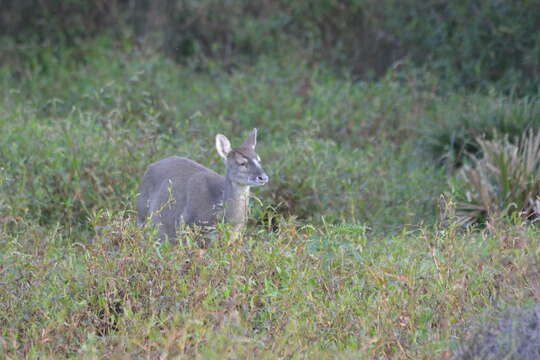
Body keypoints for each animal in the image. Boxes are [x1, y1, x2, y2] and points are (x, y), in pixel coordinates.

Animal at [137, 128, 268, 240]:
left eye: (259, 160)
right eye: (242, 163)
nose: (264, 177)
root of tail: (150, 166)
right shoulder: (188, 225)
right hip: (143, 215)